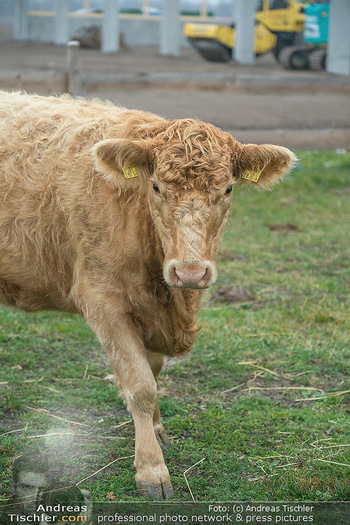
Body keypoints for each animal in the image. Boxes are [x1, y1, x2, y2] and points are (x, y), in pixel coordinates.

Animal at [0, 91, 296, 500]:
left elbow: (153, 373)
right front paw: (152, 470)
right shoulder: (103, 301)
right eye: (156, 187)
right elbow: (140, 385)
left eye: (227, 189)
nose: (190, 272)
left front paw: (156, 431)